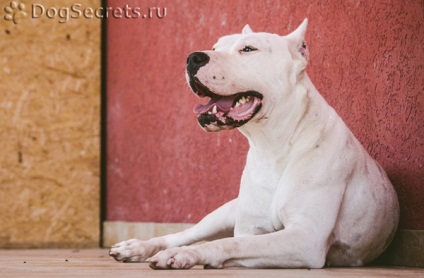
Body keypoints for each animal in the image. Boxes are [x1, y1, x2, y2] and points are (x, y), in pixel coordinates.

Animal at [108, 19, 398, 270]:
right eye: (215, 47)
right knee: (182, 235)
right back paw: (137, 247)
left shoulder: (305, 237)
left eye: (248, 49)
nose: (193, 57)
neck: (273, 146)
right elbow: (230, 242)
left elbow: (229, 244)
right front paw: (180, 252)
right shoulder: (251, 228)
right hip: (223, 212)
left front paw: (186, 255)